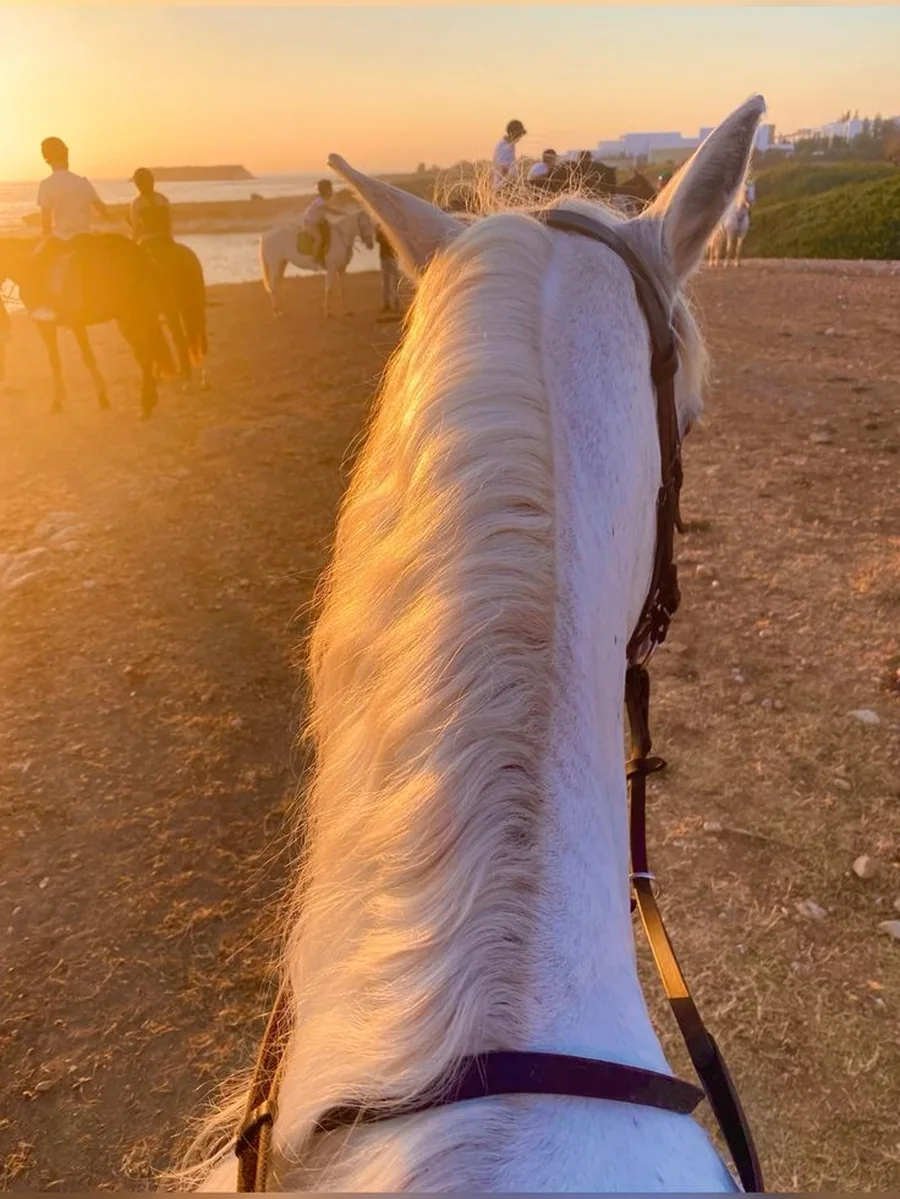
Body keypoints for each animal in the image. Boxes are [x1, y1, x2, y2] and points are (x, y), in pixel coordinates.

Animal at [0, 233, 177, 418]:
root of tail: (141, 255)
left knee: (144, 355)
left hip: (132, 318)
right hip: (132, 318)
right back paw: (149, 402)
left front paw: (96, 398)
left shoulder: (56, 325)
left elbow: (75, 359)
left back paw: (146, 403)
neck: (30, 264)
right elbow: (65, 360)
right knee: (146, 353)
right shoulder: (63, 325)